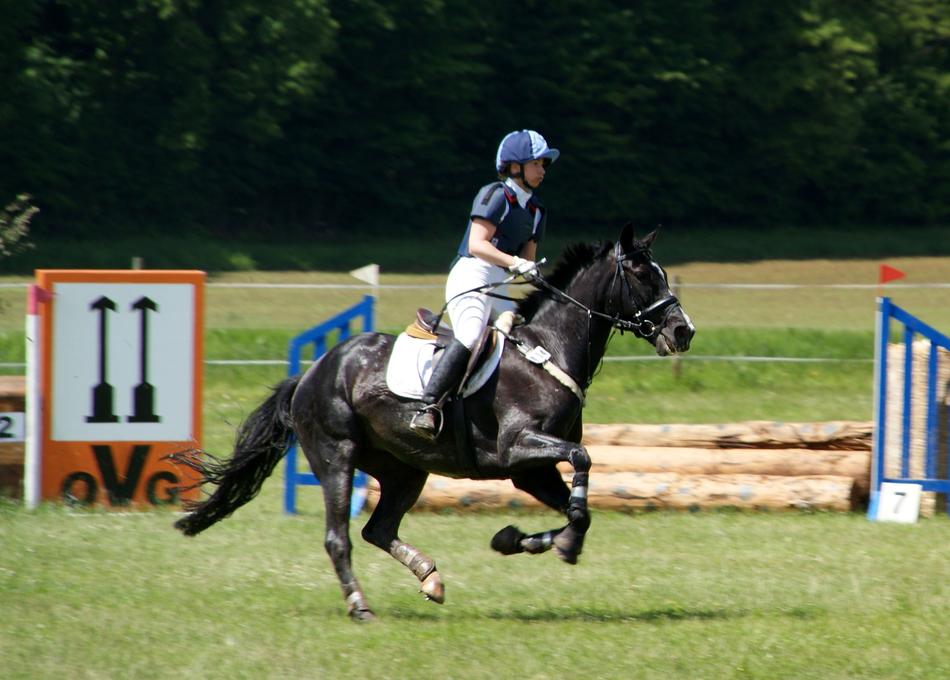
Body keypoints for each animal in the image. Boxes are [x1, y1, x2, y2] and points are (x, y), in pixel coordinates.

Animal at [170, 224, 695, 621]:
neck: (548, 351)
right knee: (339, 537)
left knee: (378, 529)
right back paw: (361, 606)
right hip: (336, 456)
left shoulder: (532, 470)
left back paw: (431, 578)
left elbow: (577, 510)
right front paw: (552, 544)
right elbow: (583, 461)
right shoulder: (519, 448)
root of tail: (314, 371)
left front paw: (527, 541)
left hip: (404, 469)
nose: (683, 331)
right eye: (643, 275)